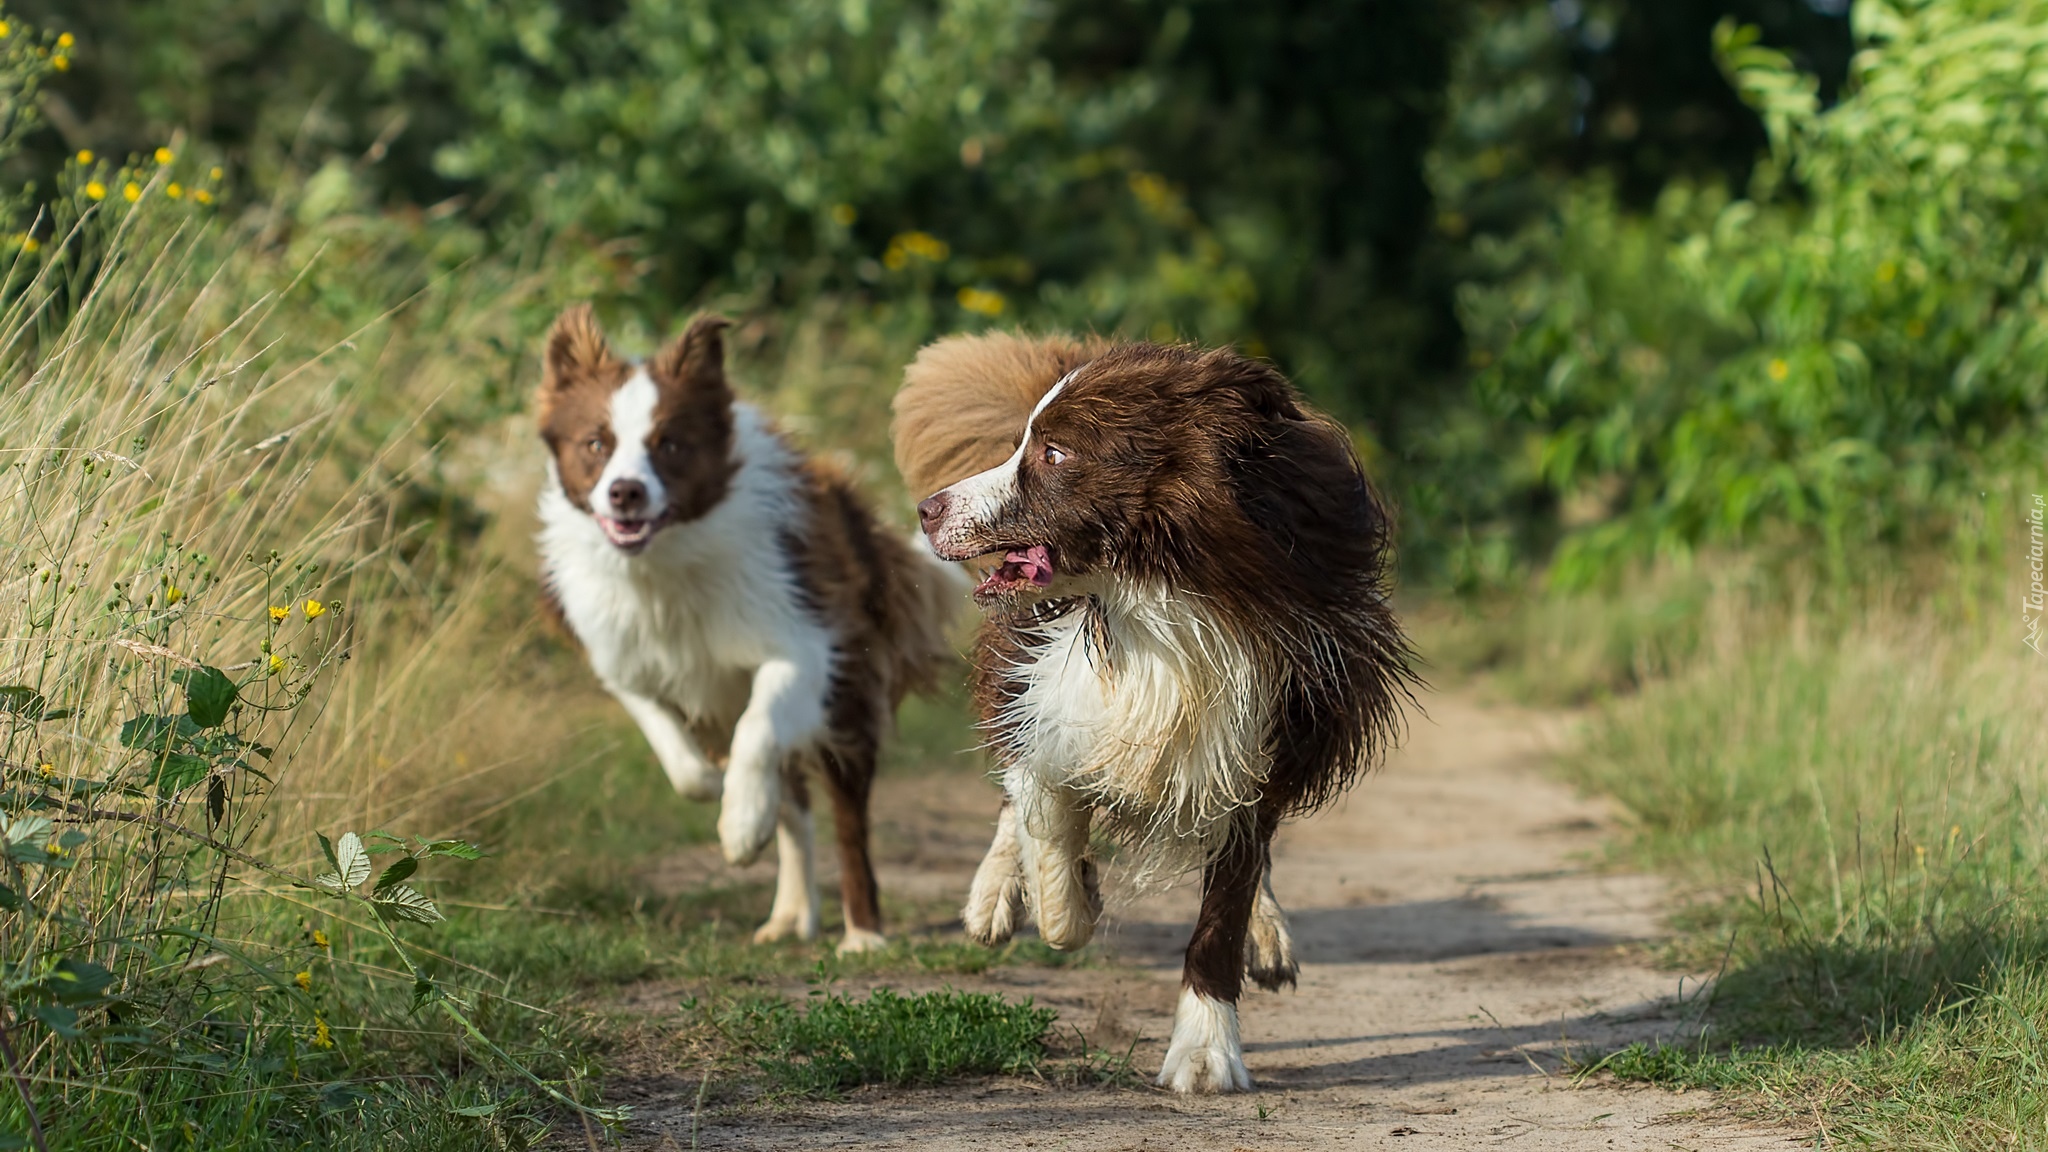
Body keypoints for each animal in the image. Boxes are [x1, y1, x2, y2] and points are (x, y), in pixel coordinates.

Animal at [544, 305, 958, 951]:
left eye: (669, 444)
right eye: (596, 443)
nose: (625, 493)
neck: (665, 563)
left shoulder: (803, 642)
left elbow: (759, 731)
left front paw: (739, 825)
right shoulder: (623, 664)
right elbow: (679, 757)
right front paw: (720, 794)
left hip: (848, 698)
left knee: (845, 818)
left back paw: (861, 932)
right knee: (796, 807)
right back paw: (790, 913)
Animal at [888, 330, 1417, 1082]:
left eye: (1055, 453)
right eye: (1023, 444)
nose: (929, 510)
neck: (1155, 595)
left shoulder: (1256, 735)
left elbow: (1226, 900)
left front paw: (1205, 1051)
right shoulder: (1049, 695)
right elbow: (1048, 838)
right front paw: (1072, 889)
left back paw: (1268, 936)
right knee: (1013, 786)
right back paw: (994, 896)